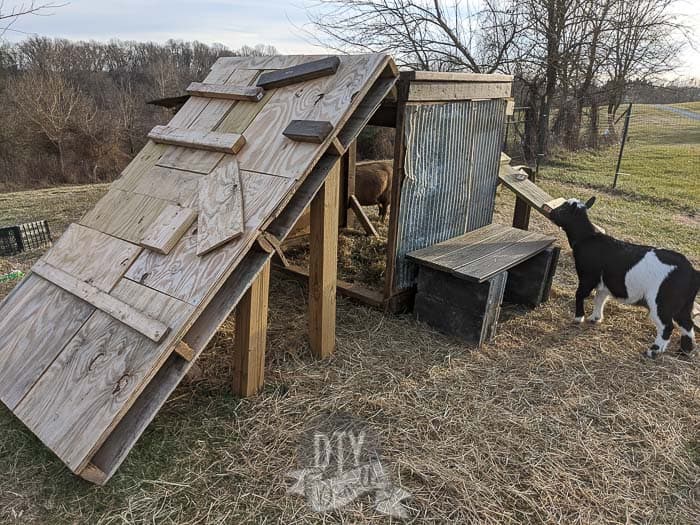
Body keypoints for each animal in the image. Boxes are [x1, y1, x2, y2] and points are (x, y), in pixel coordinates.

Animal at [548, 194, 696, 358]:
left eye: (563, 209)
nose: (550, 212)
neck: (587, 238)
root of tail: (693, 273)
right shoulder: (603, 282)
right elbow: (599, 298)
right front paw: (595, 318)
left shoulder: (588, 277)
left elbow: (580, 294)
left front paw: (578, 318)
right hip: (684, 304)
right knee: (687, 324)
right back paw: (684, 351)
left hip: (662, 303)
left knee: (667, 326)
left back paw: (654, 350)